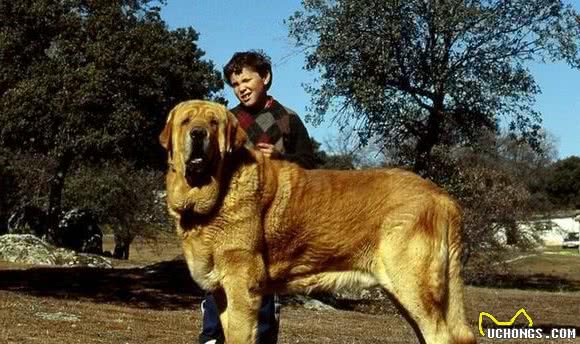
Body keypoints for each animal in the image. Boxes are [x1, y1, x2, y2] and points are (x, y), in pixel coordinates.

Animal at [160, 100, 476, 344]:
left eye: (214, 123)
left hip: (413, 287)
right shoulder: (222, 294)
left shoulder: (242, 290)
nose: (198, 133)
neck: (219, 189)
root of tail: (442, 197)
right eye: (186, 121)